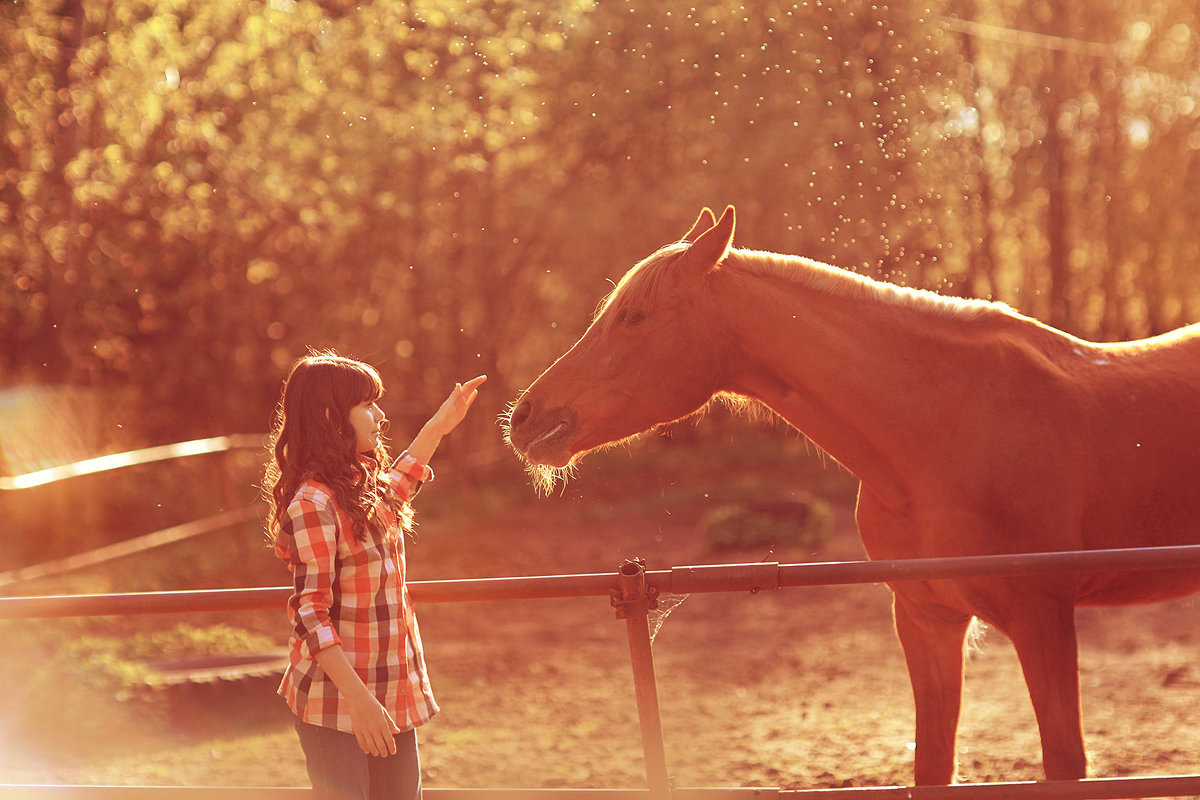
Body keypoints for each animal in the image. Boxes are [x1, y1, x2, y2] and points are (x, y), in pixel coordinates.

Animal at [504, 203, 1200, 786]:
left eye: (634, 316)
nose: (526, 418)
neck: (946, 431)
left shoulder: (1043, 619)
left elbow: (1064, 766)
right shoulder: (927, 619)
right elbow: (931, 768)